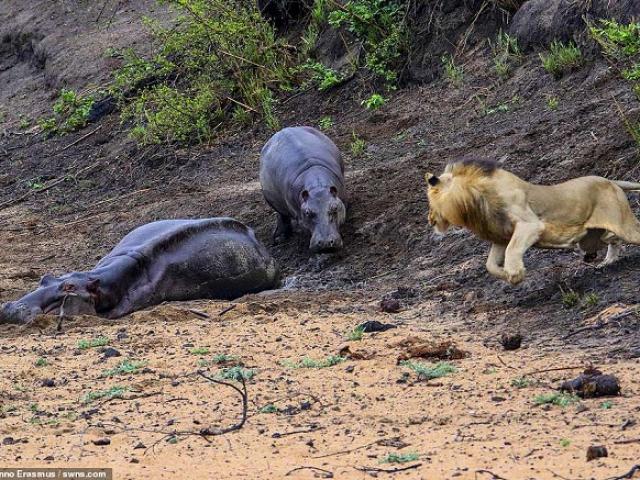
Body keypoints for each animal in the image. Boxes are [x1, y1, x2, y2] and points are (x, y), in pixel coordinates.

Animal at [258, 125, 348, 253]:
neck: (317, 187)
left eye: (335, 208)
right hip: (271, 200)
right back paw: (280, 238)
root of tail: (281, 131)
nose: (325, 243)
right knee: (282, 216)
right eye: (307, 212)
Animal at [428, 158, 640, 284]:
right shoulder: (501, 236)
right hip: (593, 238)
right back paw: (607, 261)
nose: (430, 220)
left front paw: (515, 272)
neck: (475, 202)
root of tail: (611, 181)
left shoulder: (529, 225)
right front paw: (508, 276)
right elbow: (490, 265)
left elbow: (512, 249)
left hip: (623, 225)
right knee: (612, 240)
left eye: (431, 202)